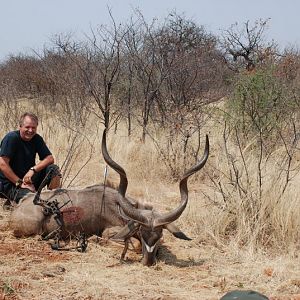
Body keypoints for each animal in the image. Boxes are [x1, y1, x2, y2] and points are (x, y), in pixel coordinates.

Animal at [7, 130, 209, 266]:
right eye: (143, 233)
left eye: (158, 235)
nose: (149, 262)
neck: (120, 208)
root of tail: (19, 206)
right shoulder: (110, 231)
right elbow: (132, 244)